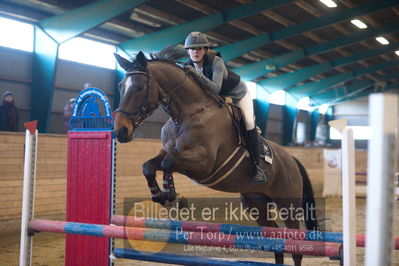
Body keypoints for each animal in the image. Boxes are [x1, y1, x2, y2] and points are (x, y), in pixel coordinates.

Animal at [114, 48, 320, 266]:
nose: (121, 131)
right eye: (120, 86)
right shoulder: (168, 152)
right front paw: (161, 195)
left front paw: (172, 196)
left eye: (138, 87)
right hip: (255, 202)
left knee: (294, 244)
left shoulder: (204, 163)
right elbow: (150, 165)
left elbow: (169, 162)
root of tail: (292, 160)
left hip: (288, 204)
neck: (187, 114)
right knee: (275, 238)